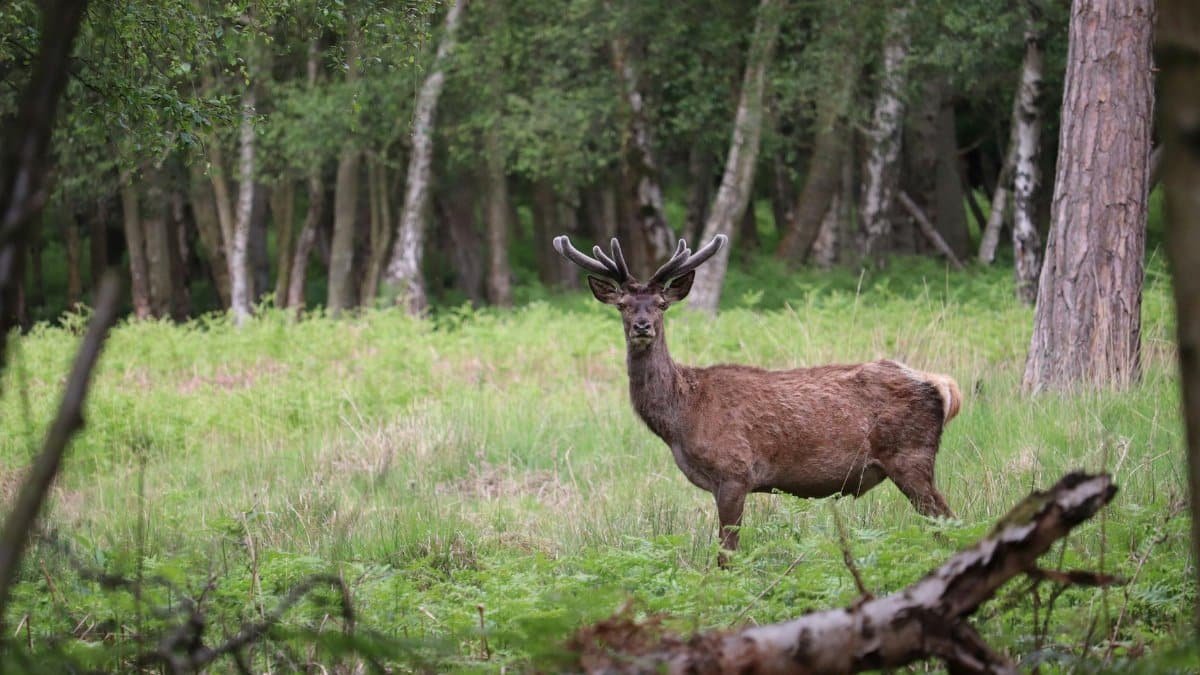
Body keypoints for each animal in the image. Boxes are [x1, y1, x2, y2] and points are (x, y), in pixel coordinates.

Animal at [553, 234, 962, 566]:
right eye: (622, 304)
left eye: (661, 304)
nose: (642, 326)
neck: (681, 418)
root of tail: (941, 385)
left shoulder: (735, 472)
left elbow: (727, 555)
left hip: (910, 456)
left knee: (948, 520)